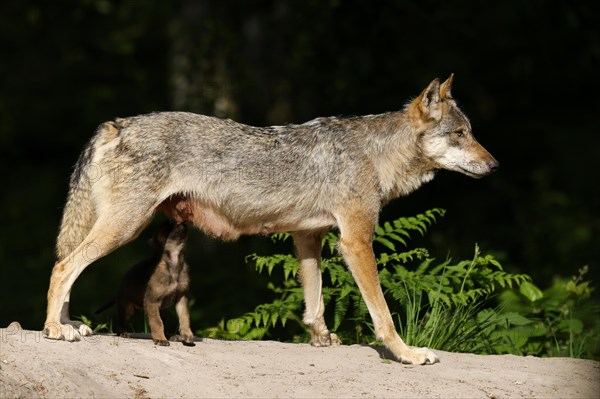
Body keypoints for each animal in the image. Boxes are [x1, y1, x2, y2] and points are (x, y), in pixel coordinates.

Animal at [44, 75, 500, 366]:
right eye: (460, 134)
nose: (495, 166)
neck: (376, 155)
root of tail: (114, 124)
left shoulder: (308, 239)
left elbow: (315, 303)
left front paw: (321, 340)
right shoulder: (355, 241)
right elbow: (383, 315)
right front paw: (407, 354)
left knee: (67, 266)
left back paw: (69, 325)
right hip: (123, 229)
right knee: (63, 267)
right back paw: (54, 330)